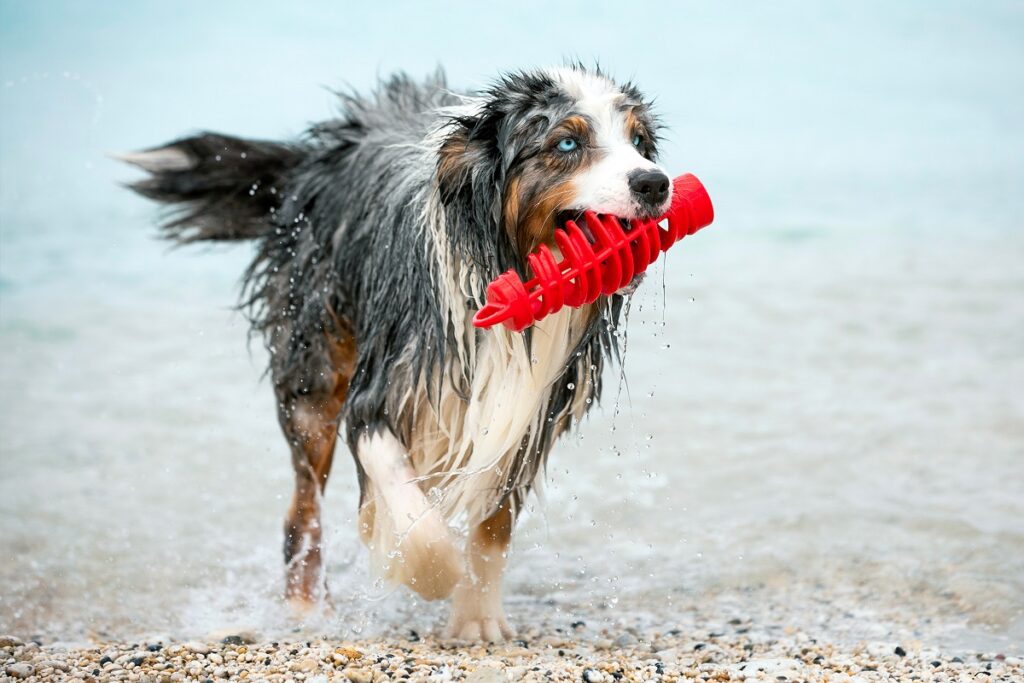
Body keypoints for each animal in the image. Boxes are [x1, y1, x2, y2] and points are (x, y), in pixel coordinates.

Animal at [123, 63, 671, 643]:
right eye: (567, 142)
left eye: (639, 142)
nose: (655, 183)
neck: (505, 270)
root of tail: (316, 156)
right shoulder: (379, 390)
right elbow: (413, 513)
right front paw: (432, 572)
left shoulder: (532, 410)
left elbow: (493, 526)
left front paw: (476, 616)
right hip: (315, 375)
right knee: (302, 507)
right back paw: (306, 609)